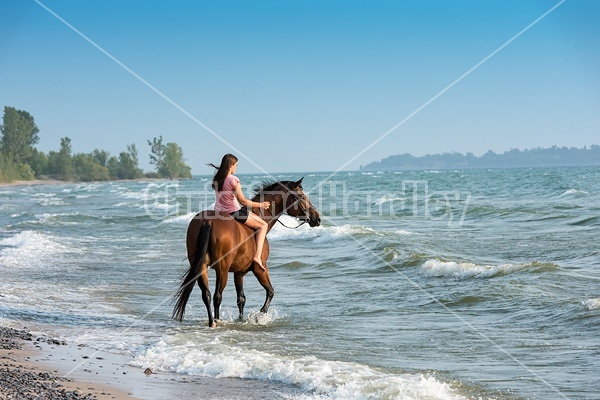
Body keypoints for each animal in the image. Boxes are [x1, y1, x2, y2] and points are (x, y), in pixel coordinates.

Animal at [171, 177, 322, 326]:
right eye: (302, 196)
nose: (317, 218)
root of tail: (207, 221)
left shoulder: (239, 273)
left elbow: (241, 299)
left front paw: (241, 319)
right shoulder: (260, 269)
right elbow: (270, 292)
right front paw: (259, 316)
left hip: (202, 267)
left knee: (206, 295)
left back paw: (212, 322)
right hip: (222, 269)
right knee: (217, 296)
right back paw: (216, 321)